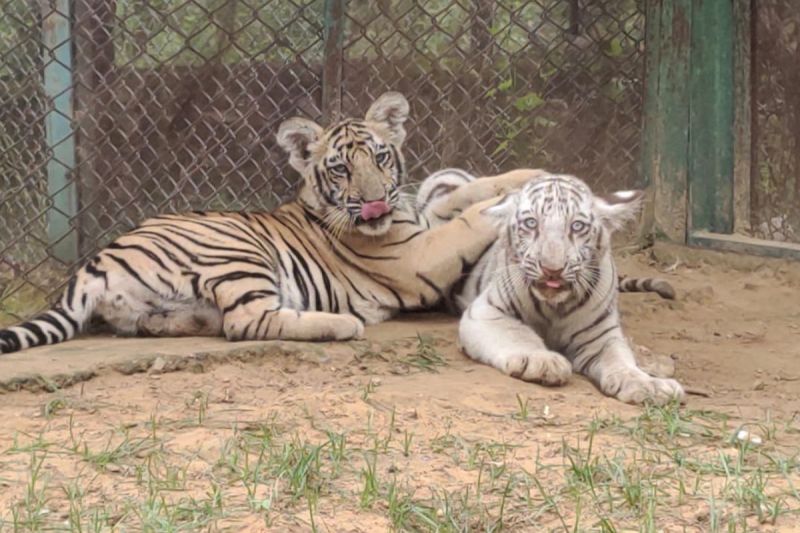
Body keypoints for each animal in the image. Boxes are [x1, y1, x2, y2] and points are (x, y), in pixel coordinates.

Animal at [0, 92, 541, 355]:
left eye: (381, 157)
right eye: (340, 168)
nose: (373, 206)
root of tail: (89, 269)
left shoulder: (415, 220)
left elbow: (467, 194)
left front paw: (524, 175)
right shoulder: (413, 256)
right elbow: (467, 219)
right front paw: (512, 199)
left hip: (164, 304)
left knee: (196, 323)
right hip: (235, 251)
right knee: (245, 322)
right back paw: (343, 323)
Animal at [442, 172, 684, 405]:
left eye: (577, 226)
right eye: (531, 223)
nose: (552, 270)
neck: (553, 307)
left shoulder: (600, 335)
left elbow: (619, 358)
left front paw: (649, 386)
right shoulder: (485, 312)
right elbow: (517, 334)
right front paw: (541, 361)